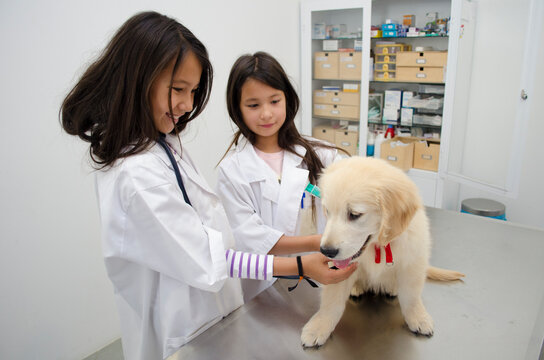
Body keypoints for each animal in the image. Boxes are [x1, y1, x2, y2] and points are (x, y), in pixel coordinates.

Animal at [302, 156, 464, 348]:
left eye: (354, 214)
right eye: (327, 211)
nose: (326, 251)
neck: (377, 245)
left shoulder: (413, 263)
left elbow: (411, 297)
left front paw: (418, 317)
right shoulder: (338, 272)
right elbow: (331, 301)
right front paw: (318, 326)